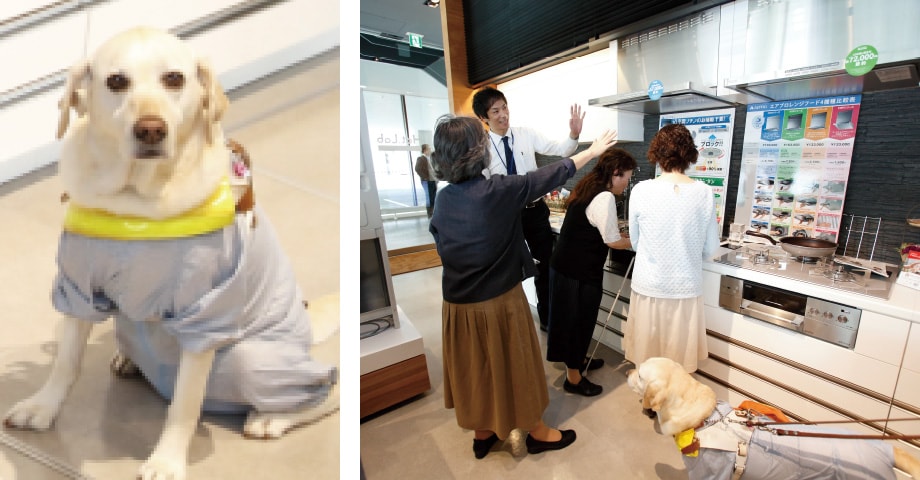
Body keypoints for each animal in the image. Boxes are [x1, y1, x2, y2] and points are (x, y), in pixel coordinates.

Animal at [3, 27, 338, 480]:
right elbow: (66, 363)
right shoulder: (78, 289)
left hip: (254, 360)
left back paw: (272, 417)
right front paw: (42, 407)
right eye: (116, 81)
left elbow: (184, 406)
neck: (136, 203)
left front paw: (166, 460)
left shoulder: (204, 316)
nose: (150, 130)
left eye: (174, 79)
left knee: (325, 390)